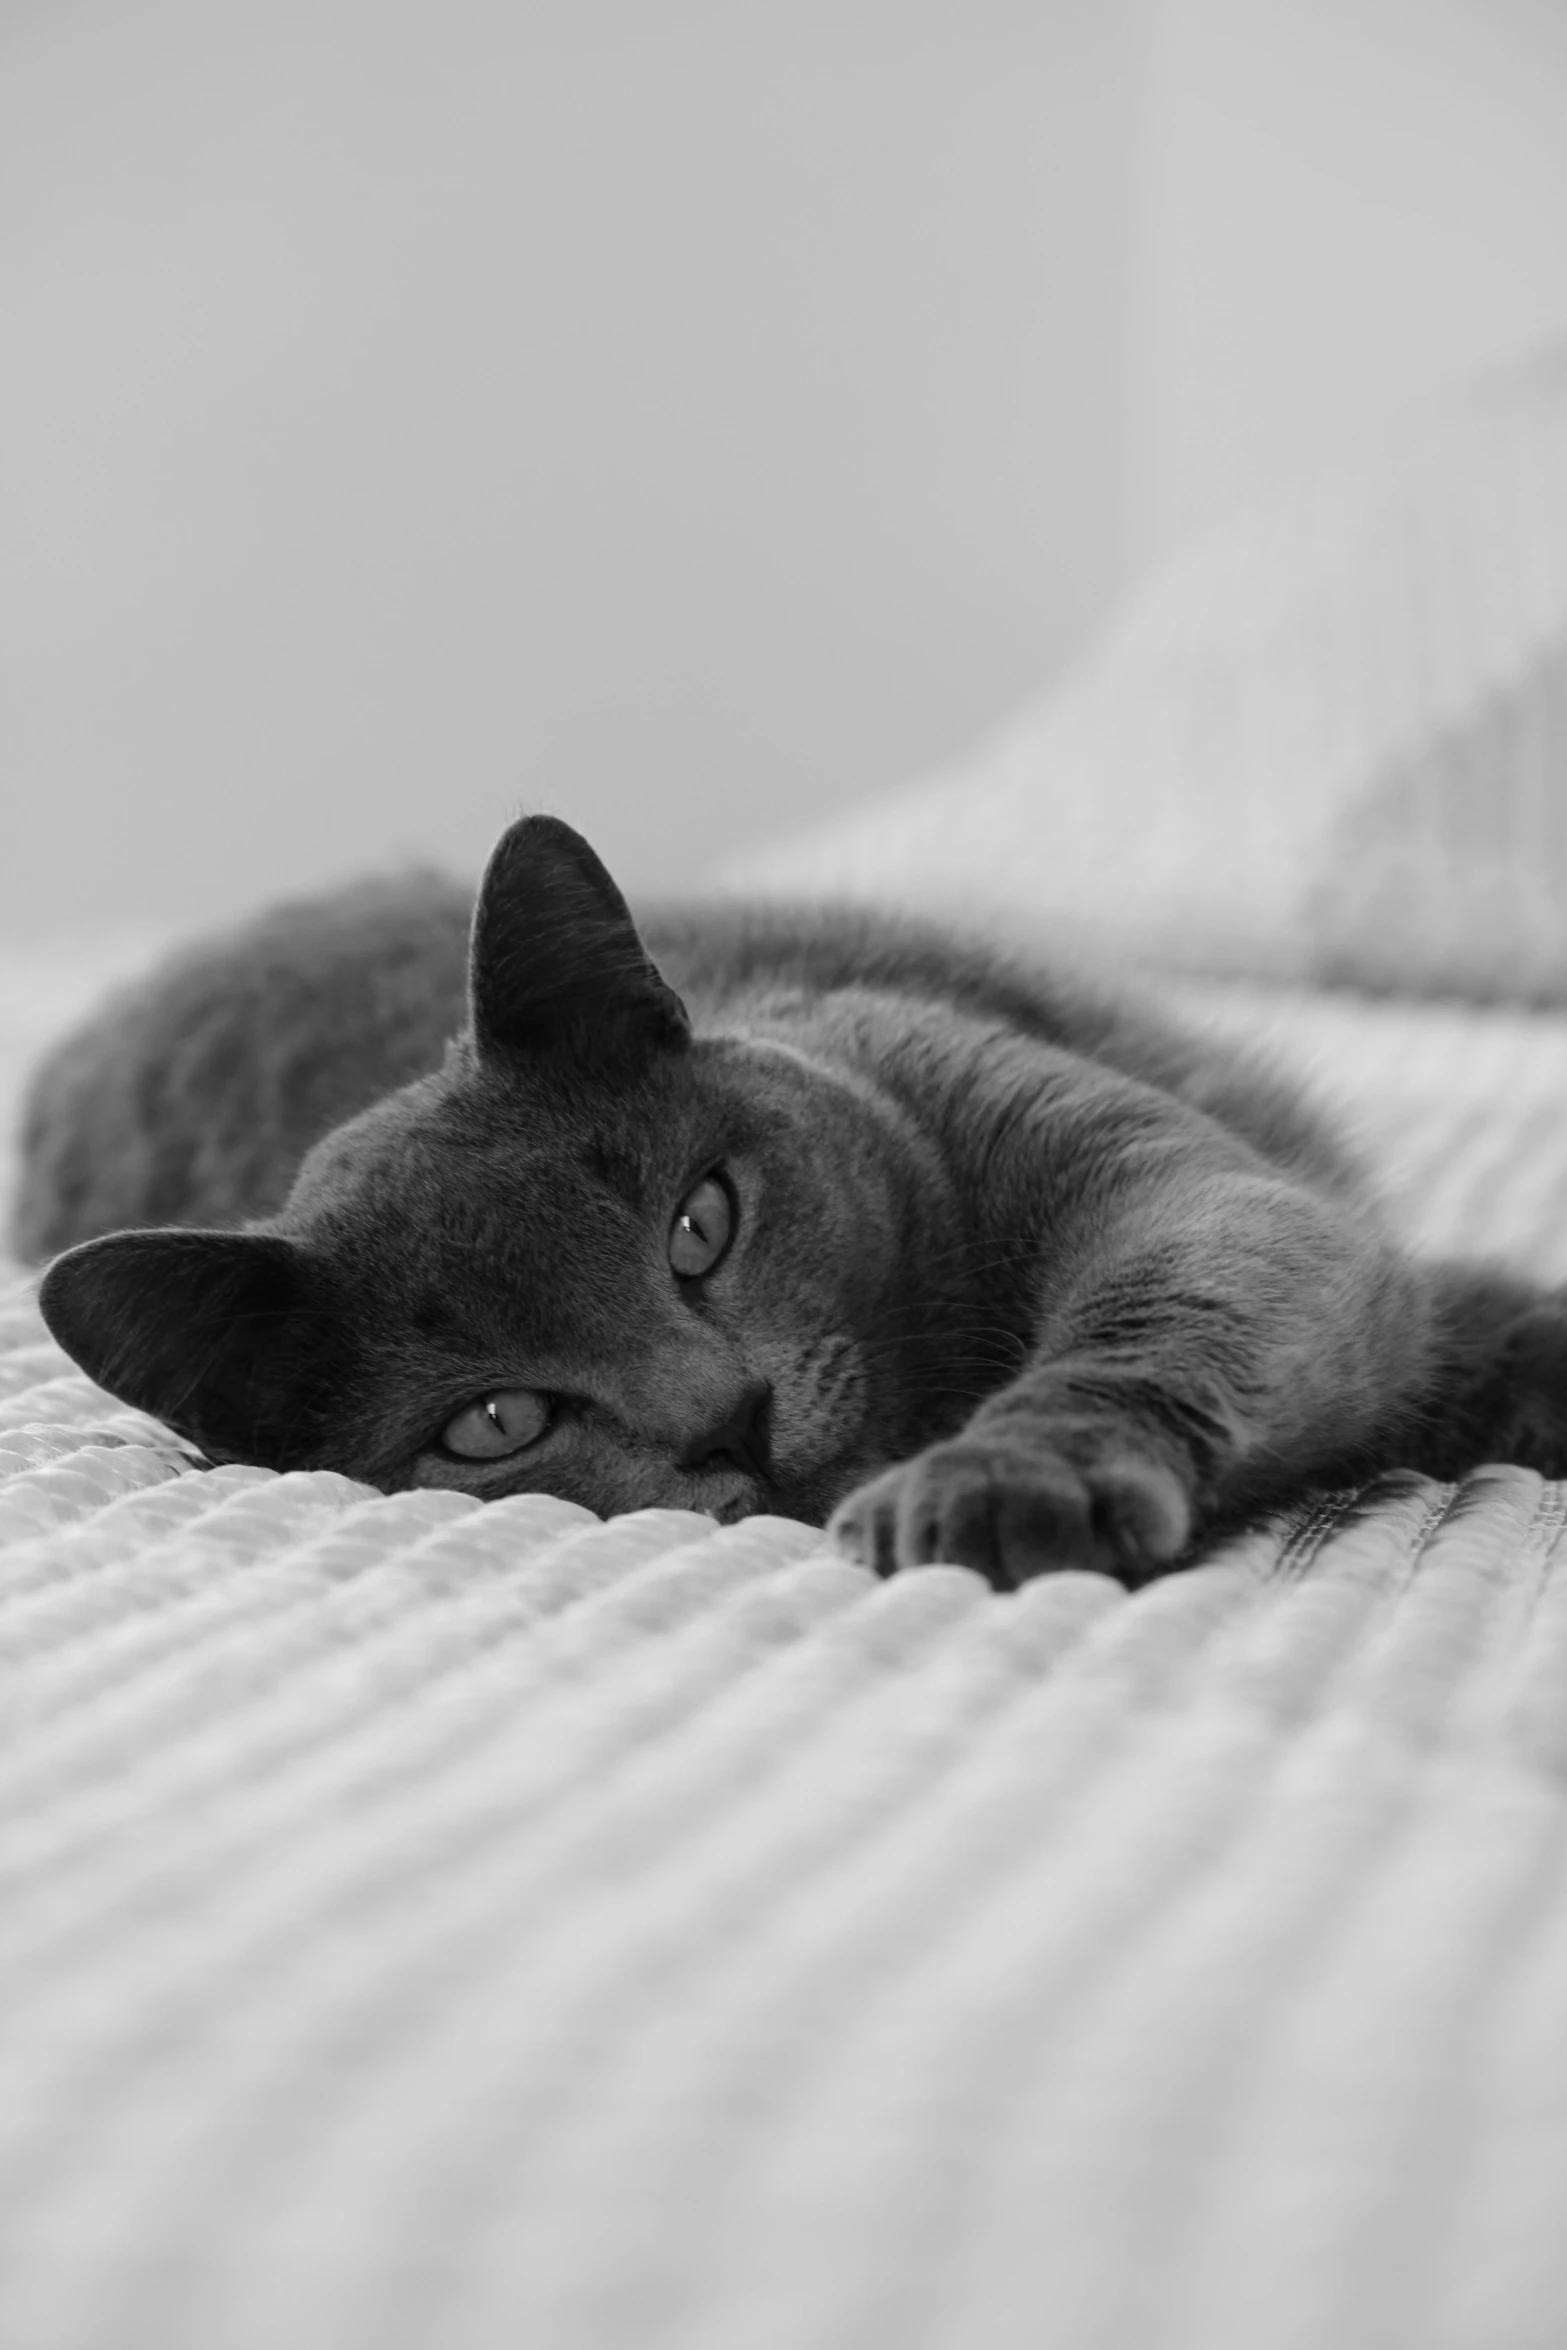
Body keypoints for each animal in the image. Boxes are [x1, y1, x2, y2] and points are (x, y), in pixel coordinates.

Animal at [15, 813, 1567, 1597]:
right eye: (495, 1424)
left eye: (698, 1224)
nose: (726, 1416)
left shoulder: (1173, 1180)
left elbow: (1183, 1292)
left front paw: (996, 1479)